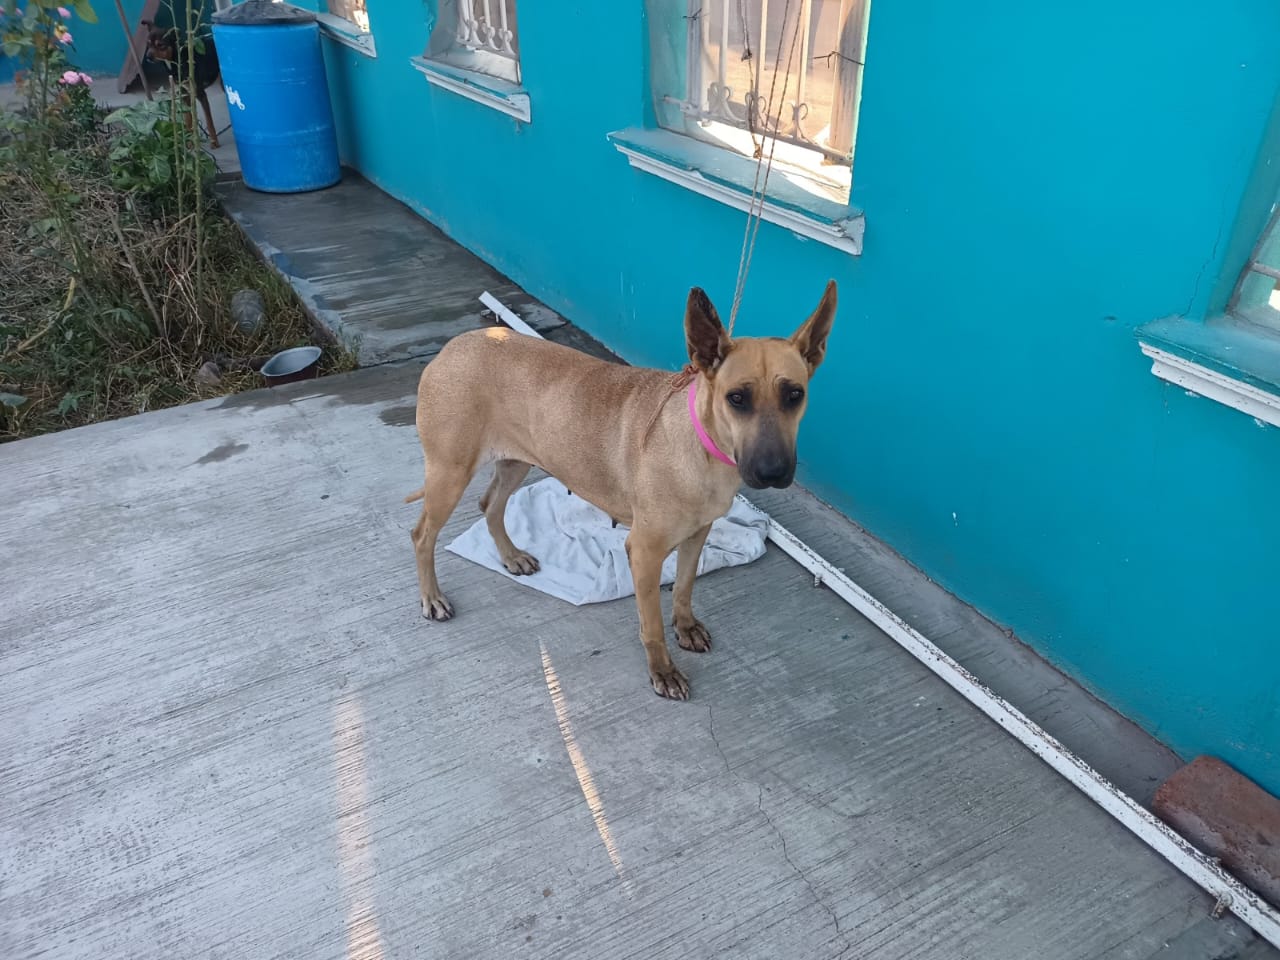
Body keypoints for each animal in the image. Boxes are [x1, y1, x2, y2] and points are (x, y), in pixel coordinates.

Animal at [141, 21, 222, 149]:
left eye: (161, 45)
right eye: (148, 44)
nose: (148, 57)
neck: (179, 61)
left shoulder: (200, 94)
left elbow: (209, 121)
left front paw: (214, 142)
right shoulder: (184, 94)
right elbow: (188, 120)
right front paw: (188, 142)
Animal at [405, 281, 837, 700]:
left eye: (794, 395)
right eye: (737, 398)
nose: (773, 471)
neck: (703, 445)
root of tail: (452, 346)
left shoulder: (698, 533)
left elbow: (684, 586)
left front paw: (686, 626)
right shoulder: (644, 552)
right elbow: (652, 625)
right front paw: (663, 670)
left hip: (517, 460)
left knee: (490, 504)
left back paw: (511, 556)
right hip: (450, 474)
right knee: (422, 533)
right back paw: (432, 598)